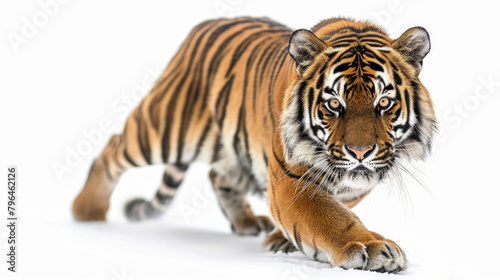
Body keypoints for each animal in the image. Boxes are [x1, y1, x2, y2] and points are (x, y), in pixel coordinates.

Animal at [72, 16, 436, 272]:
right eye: (334, 104)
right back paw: (86, 211)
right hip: (164, 127)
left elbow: (334, 209)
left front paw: (280, 239)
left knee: (218, 175)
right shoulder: (292, 180)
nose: (360, 152)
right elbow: (332, 218)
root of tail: (204, 25)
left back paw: (246, 223)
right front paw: (374, 249)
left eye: (384, 102)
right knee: (113, 148)